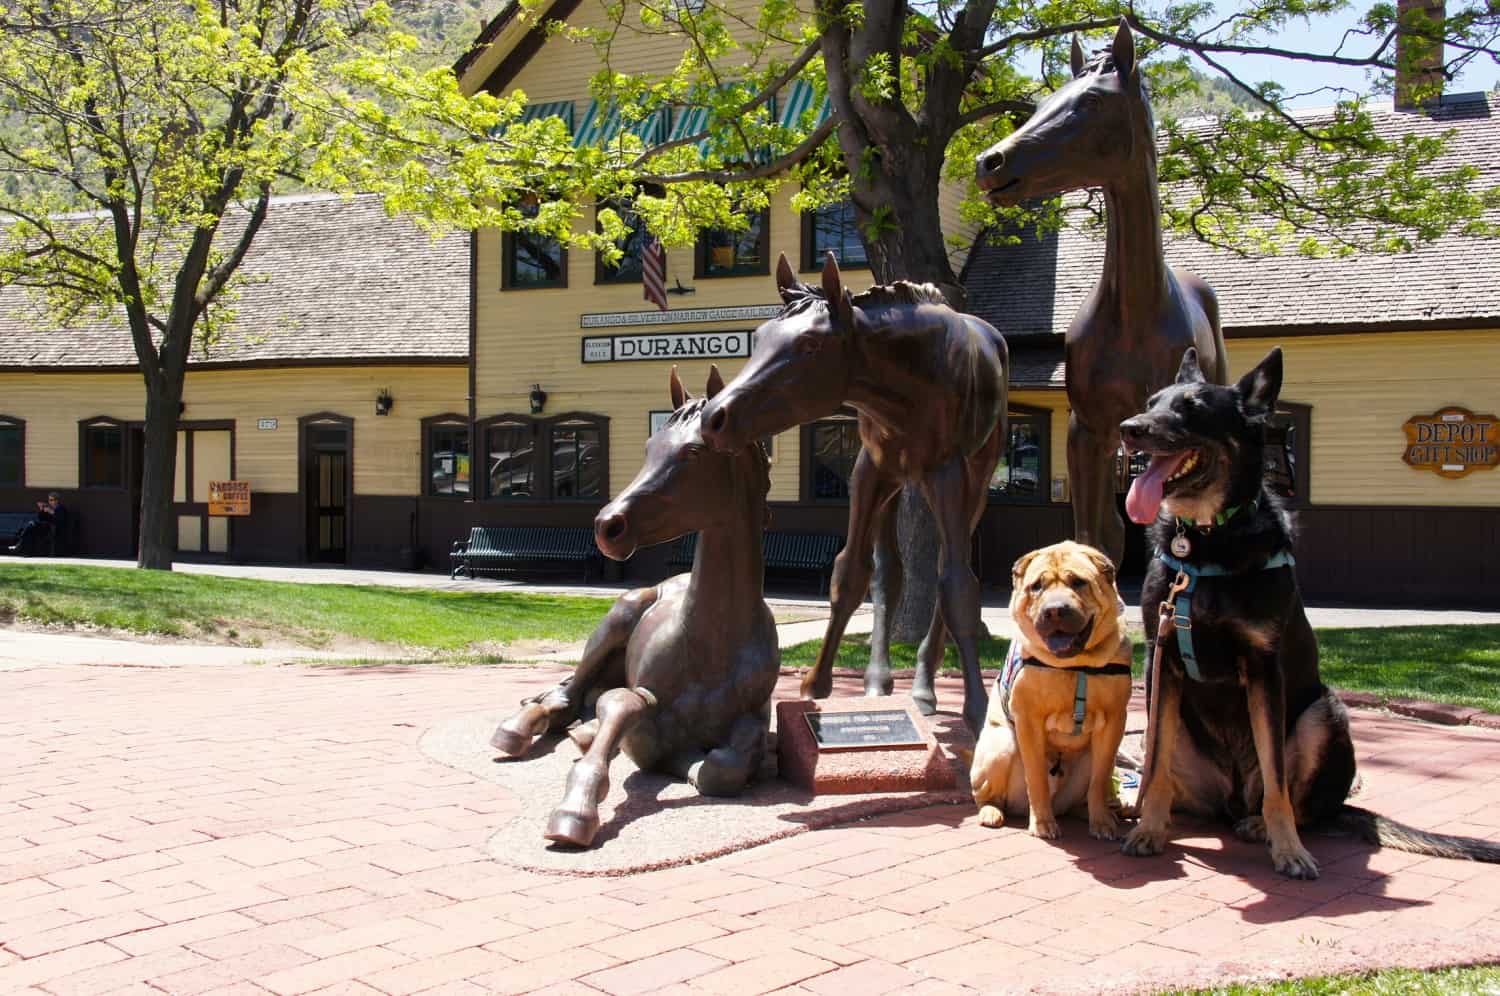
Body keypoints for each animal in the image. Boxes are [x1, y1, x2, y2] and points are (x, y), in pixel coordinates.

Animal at [966, 540, 1128, 834]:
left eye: (1078, 582)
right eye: (1036, 586)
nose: (1054, 610)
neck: (1076, 666)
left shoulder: (1113, 721)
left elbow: (1100, 781)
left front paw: (1101, 822)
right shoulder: (1028, 720)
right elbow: (1037, 777)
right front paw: (1042, 823)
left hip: (1088, 760)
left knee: (1087, 790)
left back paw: (1097, 812)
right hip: (1000, 744)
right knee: (987, 796)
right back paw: (991, 812)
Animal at [1116, 346, 1500, 876]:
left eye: (1192, 408)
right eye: (1152, 402)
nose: (1129, 428)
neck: (1206, 540)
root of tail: (1231, 800)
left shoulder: (1263, 668)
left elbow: (1277, 780)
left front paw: (1290, 850)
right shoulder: (1163, 659)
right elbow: (1153, 763)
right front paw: (1149, 830)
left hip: (1324, 713)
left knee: (1300, 803)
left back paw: (1264, 826)